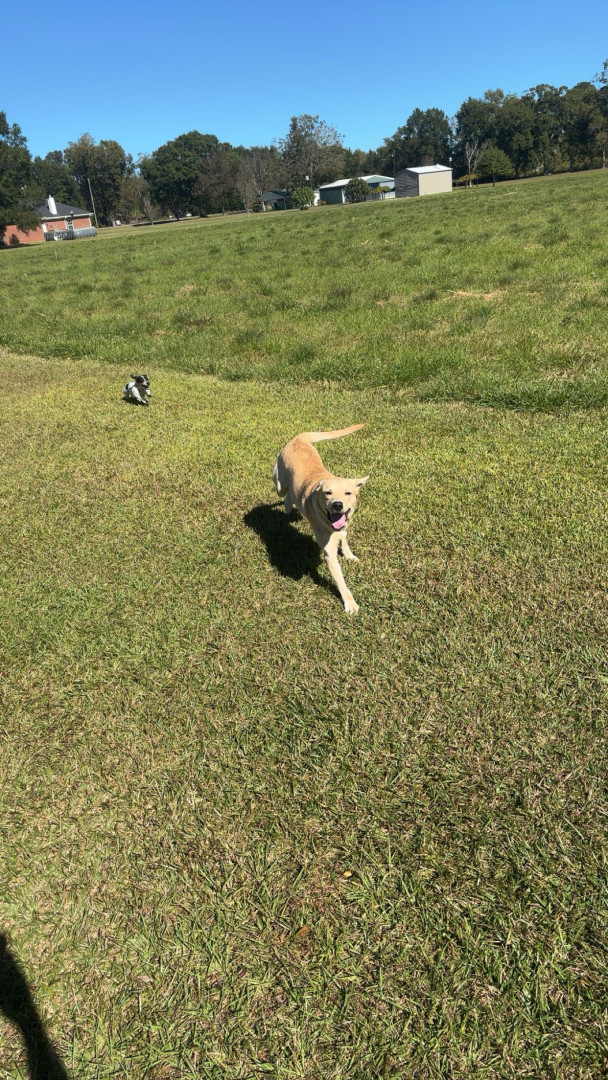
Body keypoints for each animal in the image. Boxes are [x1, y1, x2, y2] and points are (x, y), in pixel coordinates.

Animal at [273, 425, 368, 613]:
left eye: (348, 493)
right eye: (328, 493)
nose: (337, 505)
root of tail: (299, 438)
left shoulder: (343, 526)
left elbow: (344, 537)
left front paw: (349, 555)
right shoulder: (329, 553)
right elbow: (340, 580)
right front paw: (349, 602)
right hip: (279, 481)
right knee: (282, 489)